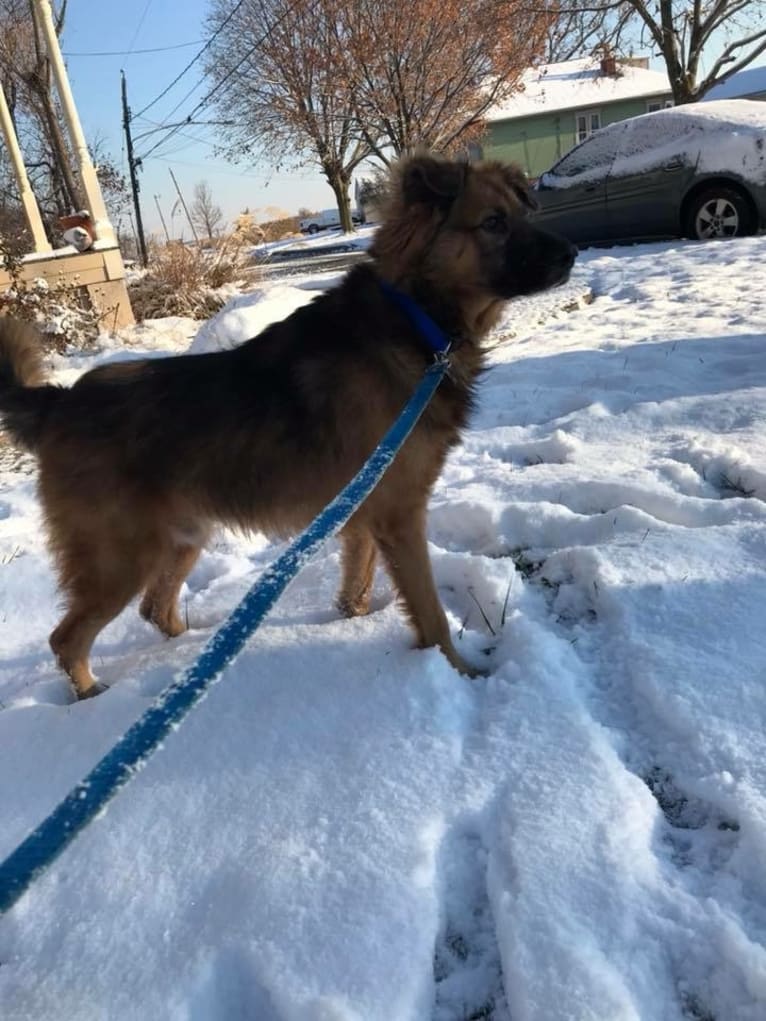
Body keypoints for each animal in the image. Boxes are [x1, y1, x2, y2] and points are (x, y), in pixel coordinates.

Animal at [0, 151, 576, 698]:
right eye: (493, 223)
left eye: (524, 211)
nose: (571, 253)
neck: (414, 318)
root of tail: (59, 403)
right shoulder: (399, 515)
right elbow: (430, 614)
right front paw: (460, 672)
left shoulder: (362, 515)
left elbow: (356, 588)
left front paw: (351, 623)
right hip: (121, 558)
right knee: (67, 638)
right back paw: (94, 695)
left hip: (181, 539)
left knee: (155, 610)